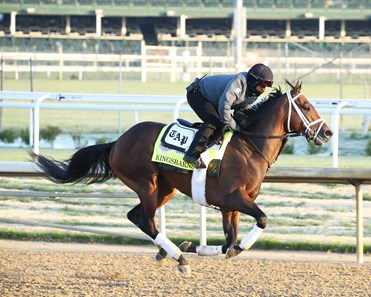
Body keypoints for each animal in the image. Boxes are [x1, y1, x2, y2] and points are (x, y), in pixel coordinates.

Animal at [32, 80, 334, 272]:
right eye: (306, 106)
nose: (327, 132)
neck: (251, 146)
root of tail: (118, 142)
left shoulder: (230, 207)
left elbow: (230, 243)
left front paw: (194, 246)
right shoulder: (234, 198)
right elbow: (260, 220)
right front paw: (191, 250)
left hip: (166, 189)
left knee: (137, 217)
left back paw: (167, 251)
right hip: (147, 184)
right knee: (146, 221)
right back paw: (178, 259)